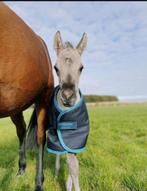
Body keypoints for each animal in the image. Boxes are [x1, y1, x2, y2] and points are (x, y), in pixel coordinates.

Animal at [0, 2, 54, 191]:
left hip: (43, 99)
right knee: (21, 130)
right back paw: (21, 169)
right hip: (14, 104)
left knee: (40, 137)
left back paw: (38, 182)